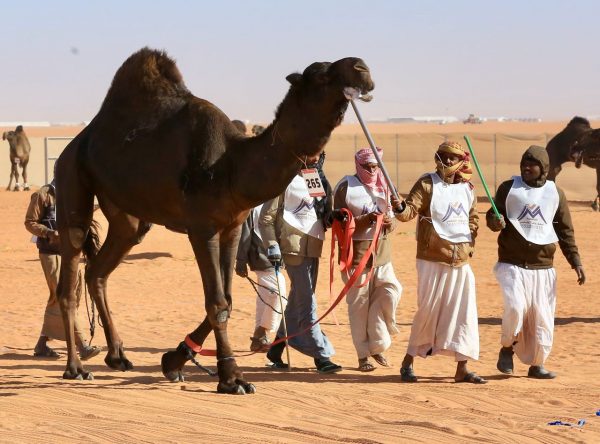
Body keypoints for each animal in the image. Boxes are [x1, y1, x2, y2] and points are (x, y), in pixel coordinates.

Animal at [57, 47, 376, 396]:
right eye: (319, 74)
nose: (362, 67)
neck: (232, 165)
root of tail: (77, 141)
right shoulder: (202, 228)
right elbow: (217, 303)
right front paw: (231, 378)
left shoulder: (232, 227)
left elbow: (229, 300)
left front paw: (174, 360)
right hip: (71, 175)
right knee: (70, 268)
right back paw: (76, 368)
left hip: (126, 215)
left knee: (100, 269)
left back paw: (117, 356)